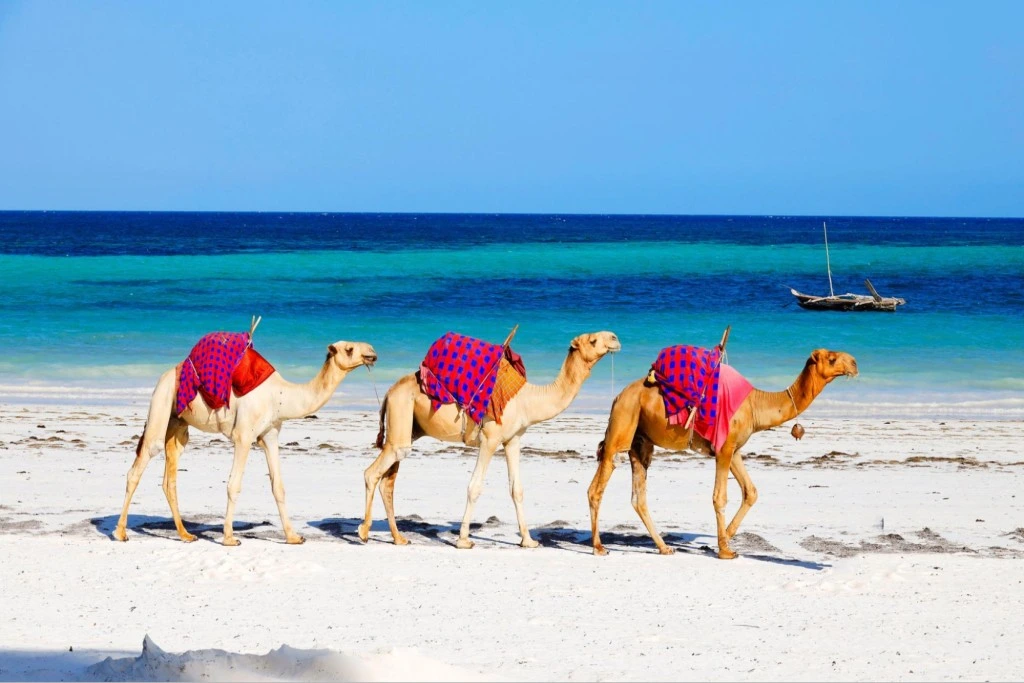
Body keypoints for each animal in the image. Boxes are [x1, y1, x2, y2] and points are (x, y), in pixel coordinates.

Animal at [114, 339, 378, 546]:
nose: (372, 352)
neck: (280, 396)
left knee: (170, 477)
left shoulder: (270, 434)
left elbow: (278, 486)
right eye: (350, 348)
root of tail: (166, 374)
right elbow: (234, 484)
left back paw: (186, 535)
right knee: (141, 462)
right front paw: (230, 538)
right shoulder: (243, 435)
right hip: (161, 402)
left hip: (177, 422)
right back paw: (121, 532)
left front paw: (293, 537)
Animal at [360, 331, 621, 549]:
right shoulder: (490, 438)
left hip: (408, 427)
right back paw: (363, 532)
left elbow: (517, 489)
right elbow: (474, 486)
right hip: (401, 413)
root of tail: (389, 392)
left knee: (388, 481)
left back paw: (399, 538)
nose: (615, 338)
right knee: (373, 473)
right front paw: (463, 540)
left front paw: (528, 541)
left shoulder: (513, 439)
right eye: (593, 340)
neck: (527, 399)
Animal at [587, 348, 857, 559]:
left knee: (638, 495)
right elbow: (719, 497)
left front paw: (722, 539)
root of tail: (617, 397)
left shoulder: (734, 449)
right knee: (598, 485)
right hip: (623, 423)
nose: (854, 363)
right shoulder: (724, 449)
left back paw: (664, 548)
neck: (756, 405)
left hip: (640, 440)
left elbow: (751, 491)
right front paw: (725, 550)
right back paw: (599, 547)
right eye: (832, 358)